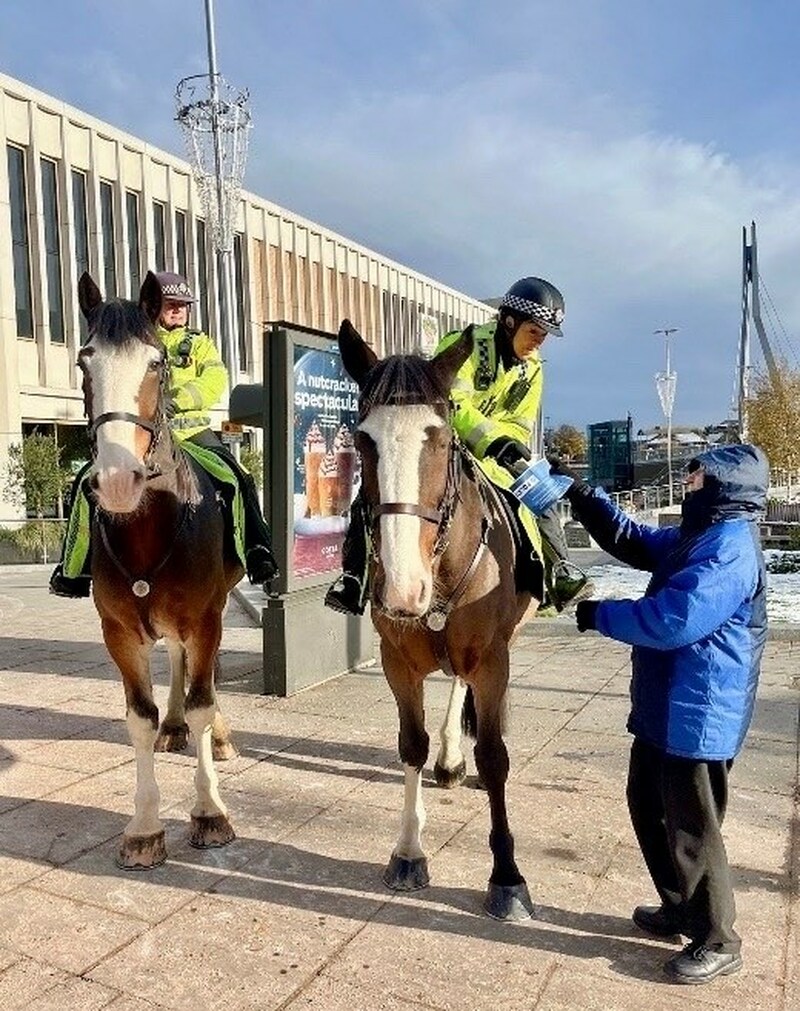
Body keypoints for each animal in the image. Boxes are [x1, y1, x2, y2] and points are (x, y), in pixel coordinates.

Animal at [77, 270, 243, 869]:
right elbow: (140, 719)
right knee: (176, 660)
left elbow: (202, 701)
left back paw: (215, 734)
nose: (116, 481)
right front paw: (145, 827)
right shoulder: (120, 632)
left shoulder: (207, 617)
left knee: (201, 678)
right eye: (84, 360)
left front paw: (210, 811)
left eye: (155, 363)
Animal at [337, 319, 538, 922]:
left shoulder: (494, 661)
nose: (404, 590)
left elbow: (494, 758)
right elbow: (412, 744)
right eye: (363, 440)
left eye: (444, 440)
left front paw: (506, 876)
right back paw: (449, 759)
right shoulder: (397, 663)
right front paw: (408, 851)